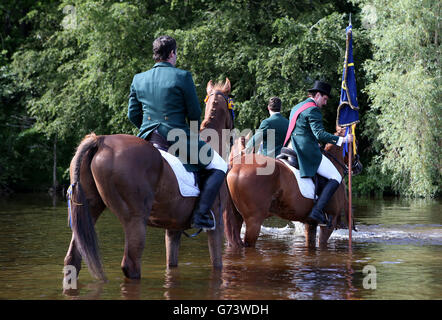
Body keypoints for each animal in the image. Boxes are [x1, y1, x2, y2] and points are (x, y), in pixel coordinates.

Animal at [64, 77, 235, 280]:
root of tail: (101, 140)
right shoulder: (216, 223)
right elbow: (217, 265)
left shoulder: (173, 228)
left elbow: (172, 264)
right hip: (135, 219)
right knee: (130, 264)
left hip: (90, 208)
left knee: (73, 259)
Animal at [224, 127, 360, 248]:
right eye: (356, 144)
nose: (359, 166)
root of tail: (236, 167)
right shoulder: (328, 224)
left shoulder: (310, 224)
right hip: (254, 221)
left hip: (239, 218)